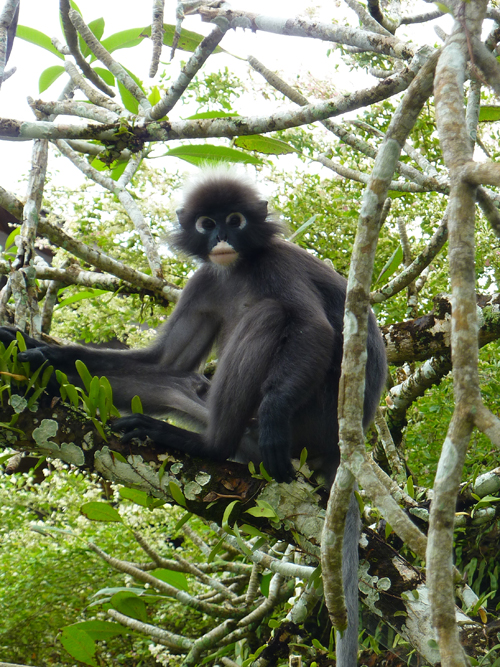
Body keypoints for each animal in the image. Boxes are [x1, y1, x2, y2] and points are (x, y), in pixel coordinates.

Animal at [0, 170, 388, 664]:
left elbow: (313, 328)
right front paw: (40, 356)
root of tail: (341, 448)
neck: (236, 268)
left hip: (311, 417)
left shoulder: (277, 264)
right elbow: (165, 358)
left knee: (269, 315)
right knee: (175, 380)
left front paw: (273, 416)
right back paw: (52, 382)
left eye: (235, 219)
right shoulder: (204, 281)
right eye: (207, 224)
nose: (221, 236)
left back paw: (209, 444)